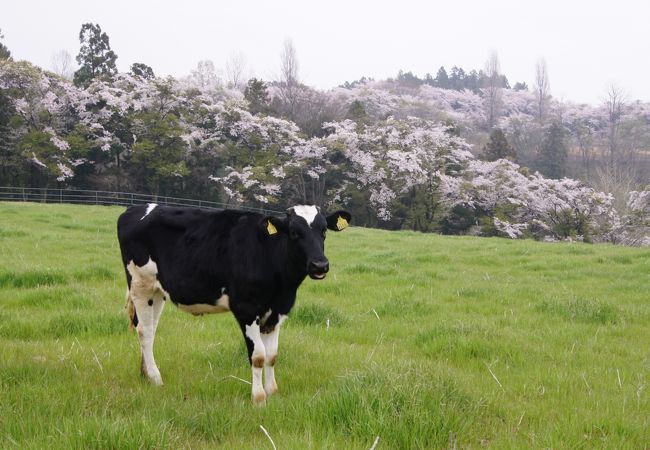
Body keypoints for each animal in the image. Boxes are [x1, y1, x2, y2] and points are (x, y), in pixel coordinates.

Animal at [116, 203, 350, 404]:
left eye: (324, 231)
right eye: (294, 232)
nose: (320, 265)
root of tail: (134, 208)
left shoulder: (278, 311)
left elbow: (272, 356)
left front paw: (272, 391)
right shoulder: (246, 309)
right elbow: (258, 356)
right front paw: (259, 398)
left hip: (157, 292)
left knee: (150, 328)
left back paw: (145, 374)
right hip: (140, 284)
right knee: (145, 331)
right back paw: (156, 378)